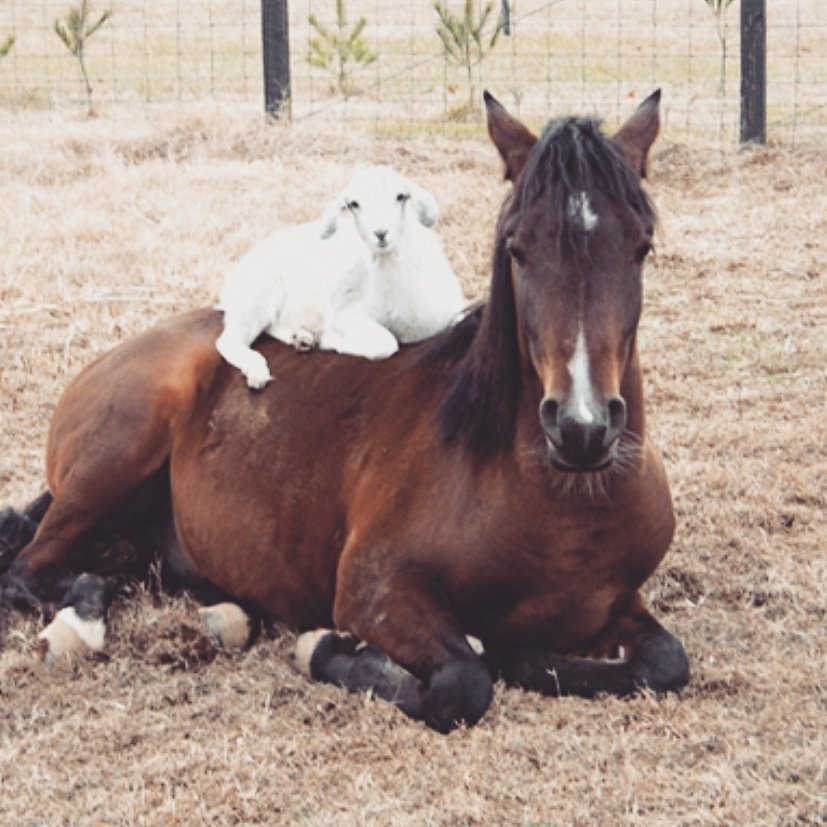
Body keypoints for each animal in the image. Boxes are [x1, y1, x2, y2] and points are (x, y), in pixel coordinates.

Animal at [215, 165, 466, 389]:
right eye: (354, 204)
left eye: (400, 196)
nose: (380, 233)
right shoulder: (348, 315)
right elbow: (386, 344)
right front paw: (330, 339)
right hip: (256, 296)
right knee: (229, 341)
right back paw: (258, 372)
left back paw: (302, 338)